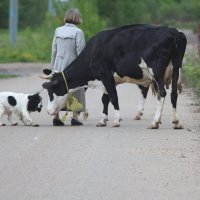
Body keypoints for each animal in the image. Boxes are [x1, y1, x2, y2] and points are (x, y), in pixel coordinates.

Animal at [41, 23, 186, 128]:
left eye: (51, 92)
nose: (48, 111)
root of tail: (173, 31)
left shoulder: (105, 75)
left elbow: (114, 97)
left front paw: (115, 121)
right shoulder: (108, 79)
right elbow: (105, 99)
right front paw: (103, 120)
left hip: (156, 70)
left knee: (162, 93)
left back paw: (155, 122)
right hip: (176, 68)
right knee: (173, 94)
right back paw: (176, 122)